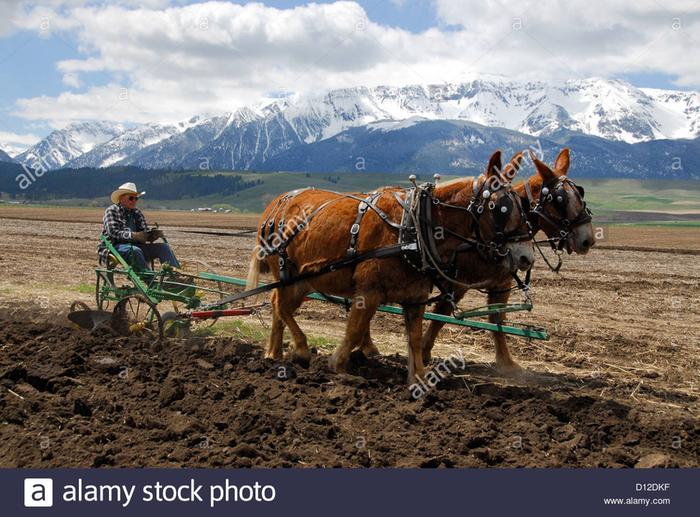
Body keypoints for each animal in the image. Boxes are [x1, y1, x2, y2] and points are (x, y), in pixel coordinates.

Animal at [249, 151, 532, 380]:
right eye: (501, 208)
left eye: (522, 205)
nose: (526, 257)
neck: (412, 228)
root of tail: (276, 204)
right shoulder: (368, 292)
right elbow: (355, 329)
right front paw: (338, 365)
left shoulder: (416, 297)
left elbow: (415, 339)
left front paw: (418, 378)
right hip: (285, 271)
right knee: (281, 305)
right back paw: (300, 349)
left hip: (303, 280)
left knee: (278, 305)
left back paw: (274, 353)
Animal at [418, 149, 600, 370]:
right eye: (560, 200)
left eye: (580, 193)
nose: (588, 239)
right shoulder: (458, 284)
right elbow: (441, 315)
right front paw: (424, 352)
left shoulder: (501, 285)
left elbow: (498, 320)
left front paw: (506, 362)